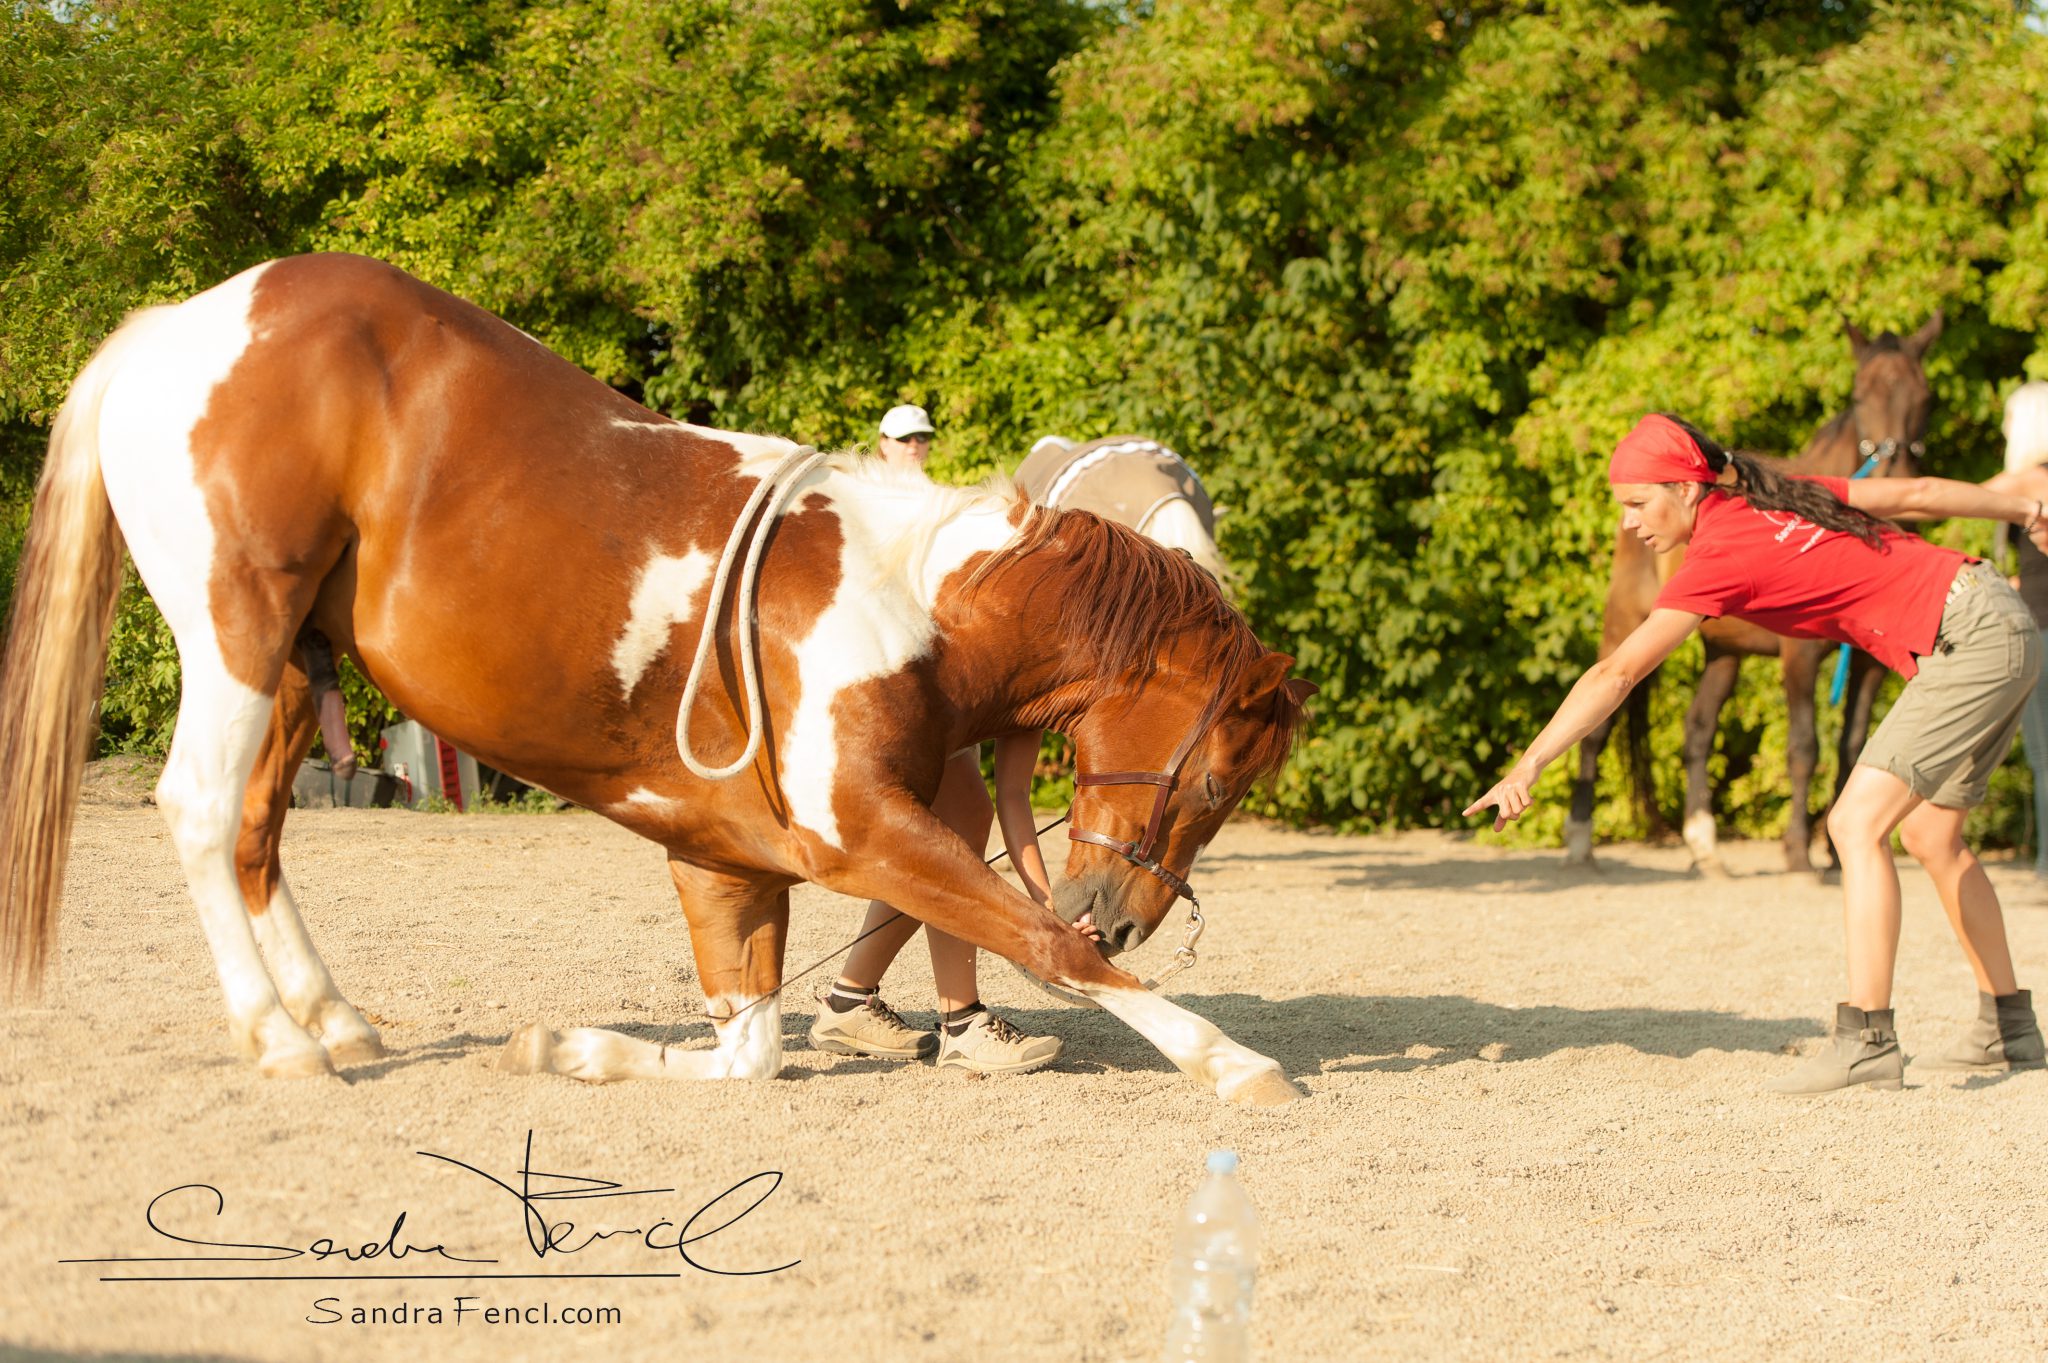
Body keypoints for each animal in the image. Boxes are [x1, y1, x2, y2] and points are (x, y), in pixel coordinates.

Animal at [0, 251, 1310, 1105]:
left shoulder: (723, 860)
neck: (913, 599)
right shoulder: (859, 831)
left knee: (257, 833)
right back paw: (281, 1039)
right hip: (237, 630)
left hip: (285, 668)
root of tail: (180, 321)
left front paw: (567, 1051)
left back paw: (339, 1018)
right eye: (1216, 782)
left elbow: (748, 1049)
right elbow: (1040, 944)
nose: (1123, 911)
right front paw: (1230, 1060)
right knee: (200, 810)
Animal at [1556, 311, 1941, 871]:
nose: (1896, 470)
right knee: (1599, 728)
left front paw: (1832, 852)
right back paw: (1581, 840)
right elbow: (1805, 746)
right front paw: (1800, 852)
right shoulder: (1800, 656)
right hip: (1627, 622)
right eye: (1859, 393)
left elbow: (1851, 746)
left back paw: (1704, 846)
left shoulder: (1869, 664)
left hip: (1724, 651)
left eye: (1925, 396)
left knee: (1697, 730)